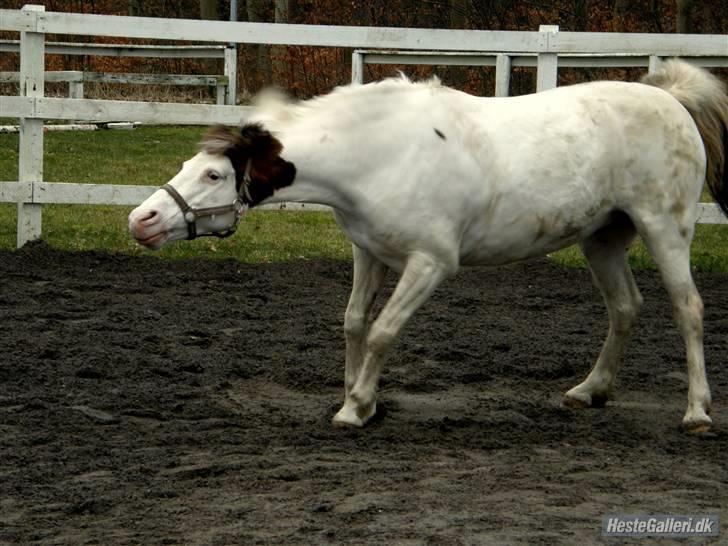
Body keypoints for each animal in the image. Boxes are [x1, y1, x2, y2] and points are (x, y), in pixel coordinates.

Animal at [131, 59, 728, 432]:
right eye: (187, 165)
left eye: (213, 175)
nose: (142, 220)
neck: (380, 152)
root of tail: (671, 99)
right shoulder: (369, 252)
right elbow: (354, 323)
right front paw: (360, 398)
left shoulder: (430, 265)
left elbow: (382, 331)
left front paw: (356, 409)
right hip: (602, 239)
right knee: (626, 307)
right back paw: (589, 391)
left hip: (664, 230)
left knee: (689, 309)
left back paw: (697, 412)